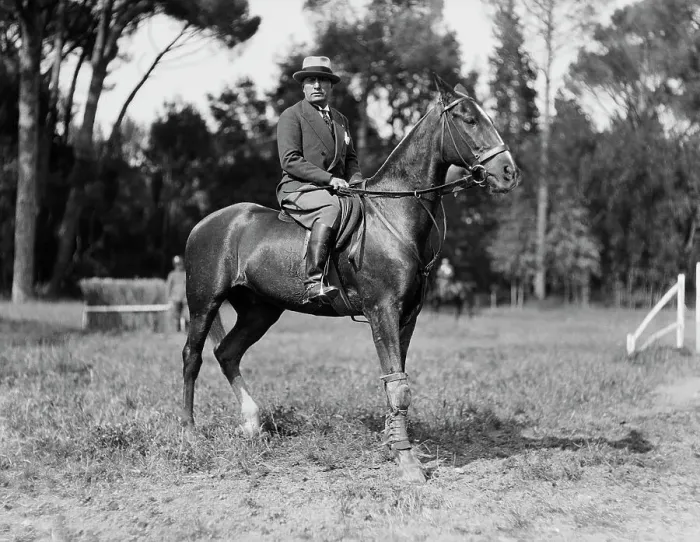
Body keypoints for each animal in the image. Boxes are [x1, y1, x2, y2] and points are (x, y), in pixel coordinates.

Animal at [181, 76, 520, 484]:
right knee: (193, 357)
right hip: (204, 303)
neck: (394, 214)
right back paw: (189, 433)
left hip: (260, 311)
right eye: (468, 119)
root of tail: (203, 224)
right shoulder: (382, 311)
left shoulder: (407, 316)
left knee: (227, 353)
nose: (508, 172)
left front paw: (393, 445)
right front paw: (407, 462)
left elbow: (395, 379)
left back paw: (252, 423)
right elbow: (398, 386)